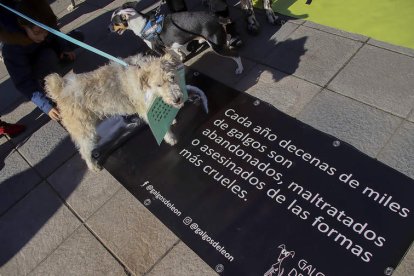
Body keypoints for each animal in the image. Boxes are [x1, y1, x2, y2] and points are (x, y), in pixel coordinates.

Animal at [44, 53, 185, 170]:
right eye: (158, 85)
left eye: (172, 77)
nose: (177, 99)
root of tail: (61, 91)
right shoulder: (146, 110)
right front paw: (171, 138)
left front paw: (172, 120)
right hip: (84, 130)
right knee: (84, 151)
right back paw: (93, 166)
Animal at [108, 1, 244, 74]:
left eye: (114, 22)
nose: (108, 28)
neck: (143, 24)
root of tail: (217, 18)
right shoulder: (170, 44)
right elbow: (177, 51)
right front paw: (181, 57)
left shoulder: (159, 50)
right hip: (219, 39)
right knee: (228, 40)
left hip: (216, 46)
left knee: (236, 55)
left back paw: (240, 69)